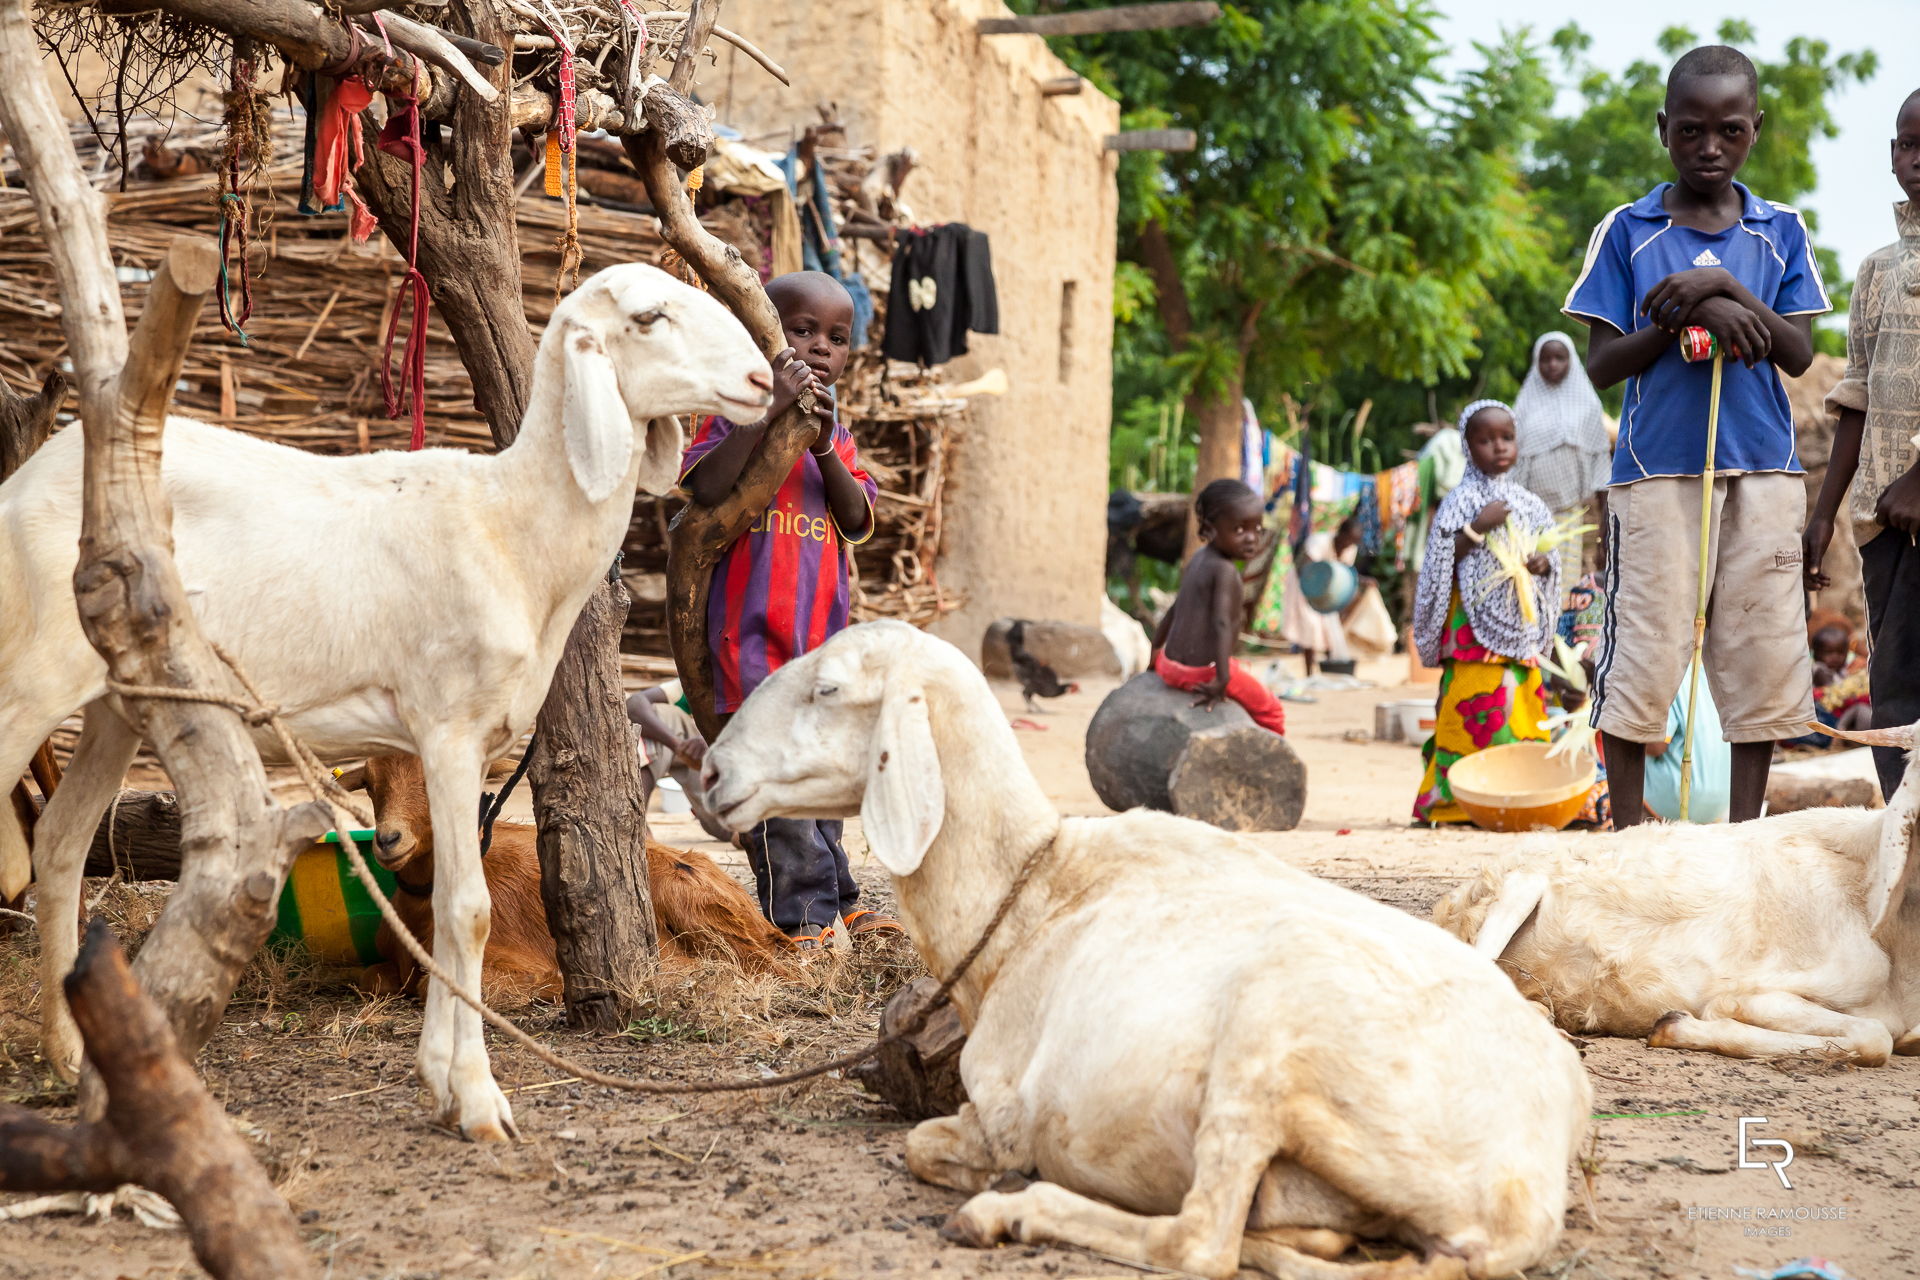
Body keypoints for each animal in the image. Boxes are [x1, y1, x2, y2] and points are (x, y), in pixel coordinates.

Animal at [337, 752, 794, 997]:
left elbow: (431, 985)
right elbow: (369, 977)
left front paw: (556, 985)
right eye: (371, 785)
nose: (388, 839)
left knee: (766, 967)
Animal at [698, 621, 1582, 1280]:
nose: (709, 773)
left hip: (1266, 1046)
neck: (1031, 892)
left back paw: (1012, 1212)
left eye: (827, 689)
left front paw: (1000, 1182)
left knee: (1202, 1242)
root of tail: (1523, 1197)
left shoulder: (999, 1107)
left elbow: (925, 1145)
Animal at [1436, 725, 1920, 1066]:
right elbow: (1874, 1038)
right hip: (1517, 890)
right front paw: (1677, 1027)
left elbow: (1885, 1038)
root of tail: (1449, 908)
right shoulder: (1764, 992)